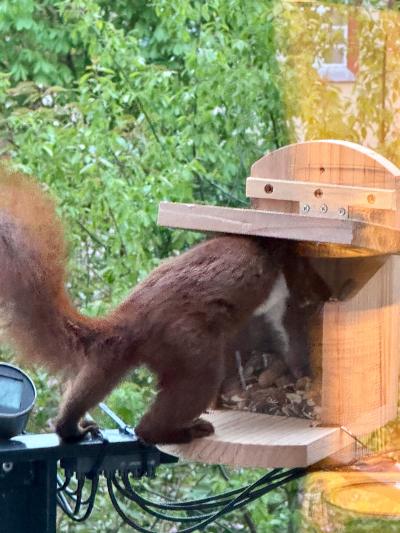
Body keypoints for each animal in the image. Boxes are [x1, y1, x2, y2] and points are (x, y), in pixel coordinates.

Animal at [0, 164, 328, 442]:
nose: (324, 292)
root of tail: (129, 320)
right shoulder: (285, 287)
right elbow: (290, 331)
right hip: (192, 351)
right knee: (153, 423)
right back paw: (185, 430)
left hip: (113, 360)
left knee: (88, 389)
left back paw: (72, 429)